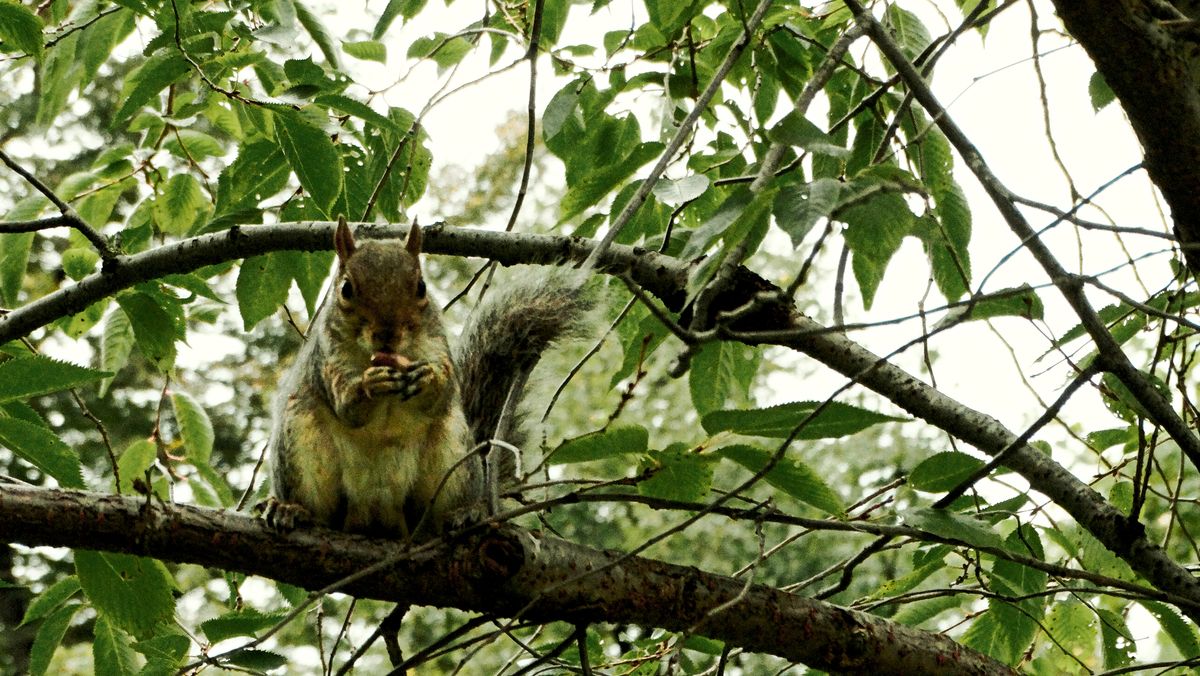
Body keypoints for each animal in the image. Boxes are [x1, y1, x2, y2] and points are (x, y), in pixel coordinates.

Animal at [262, 218, 590, 540]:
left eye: (421, 287)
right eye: (346, 289)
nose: (387, 334)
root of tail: (376, 517)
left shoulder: (437, 346)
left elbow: (441, 392)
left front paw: (428, 379)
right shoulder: (327, 361)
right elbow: (346, 405)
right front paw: (370, 384)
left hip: (453, 455)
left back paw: (464, 513)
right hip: (299, 442)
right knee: (319, 510)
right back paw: (291, 510)